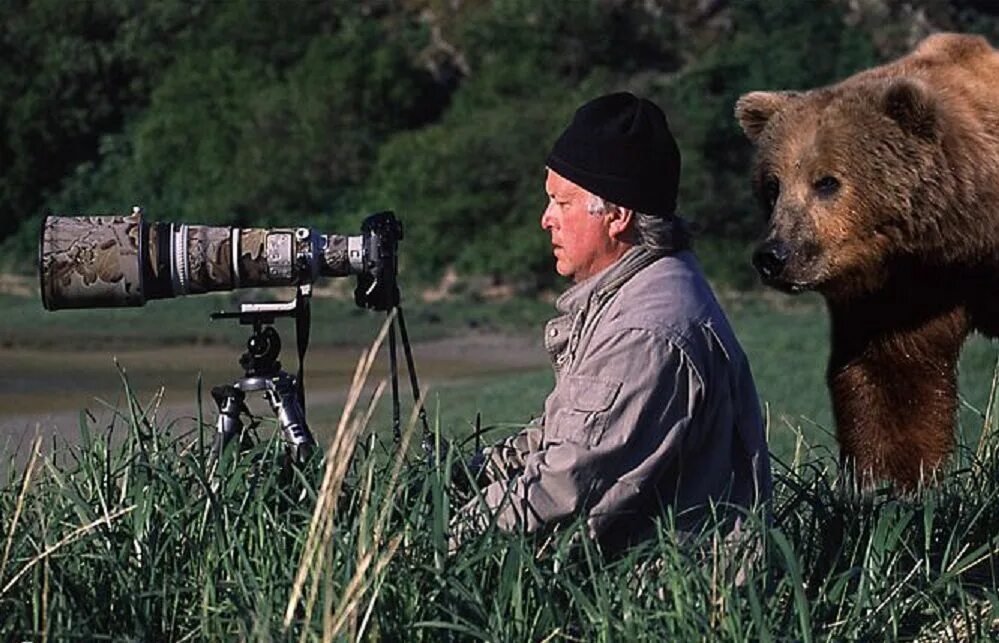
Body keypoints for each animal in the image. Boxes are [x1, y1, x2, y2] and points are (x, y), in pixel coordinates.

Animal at [736, 34, 999, 488]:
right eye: (772, 185)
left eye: (827, 181)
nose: (773, 256)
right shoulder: (903, 291)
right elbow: (893, 380)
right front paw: (888, 483)